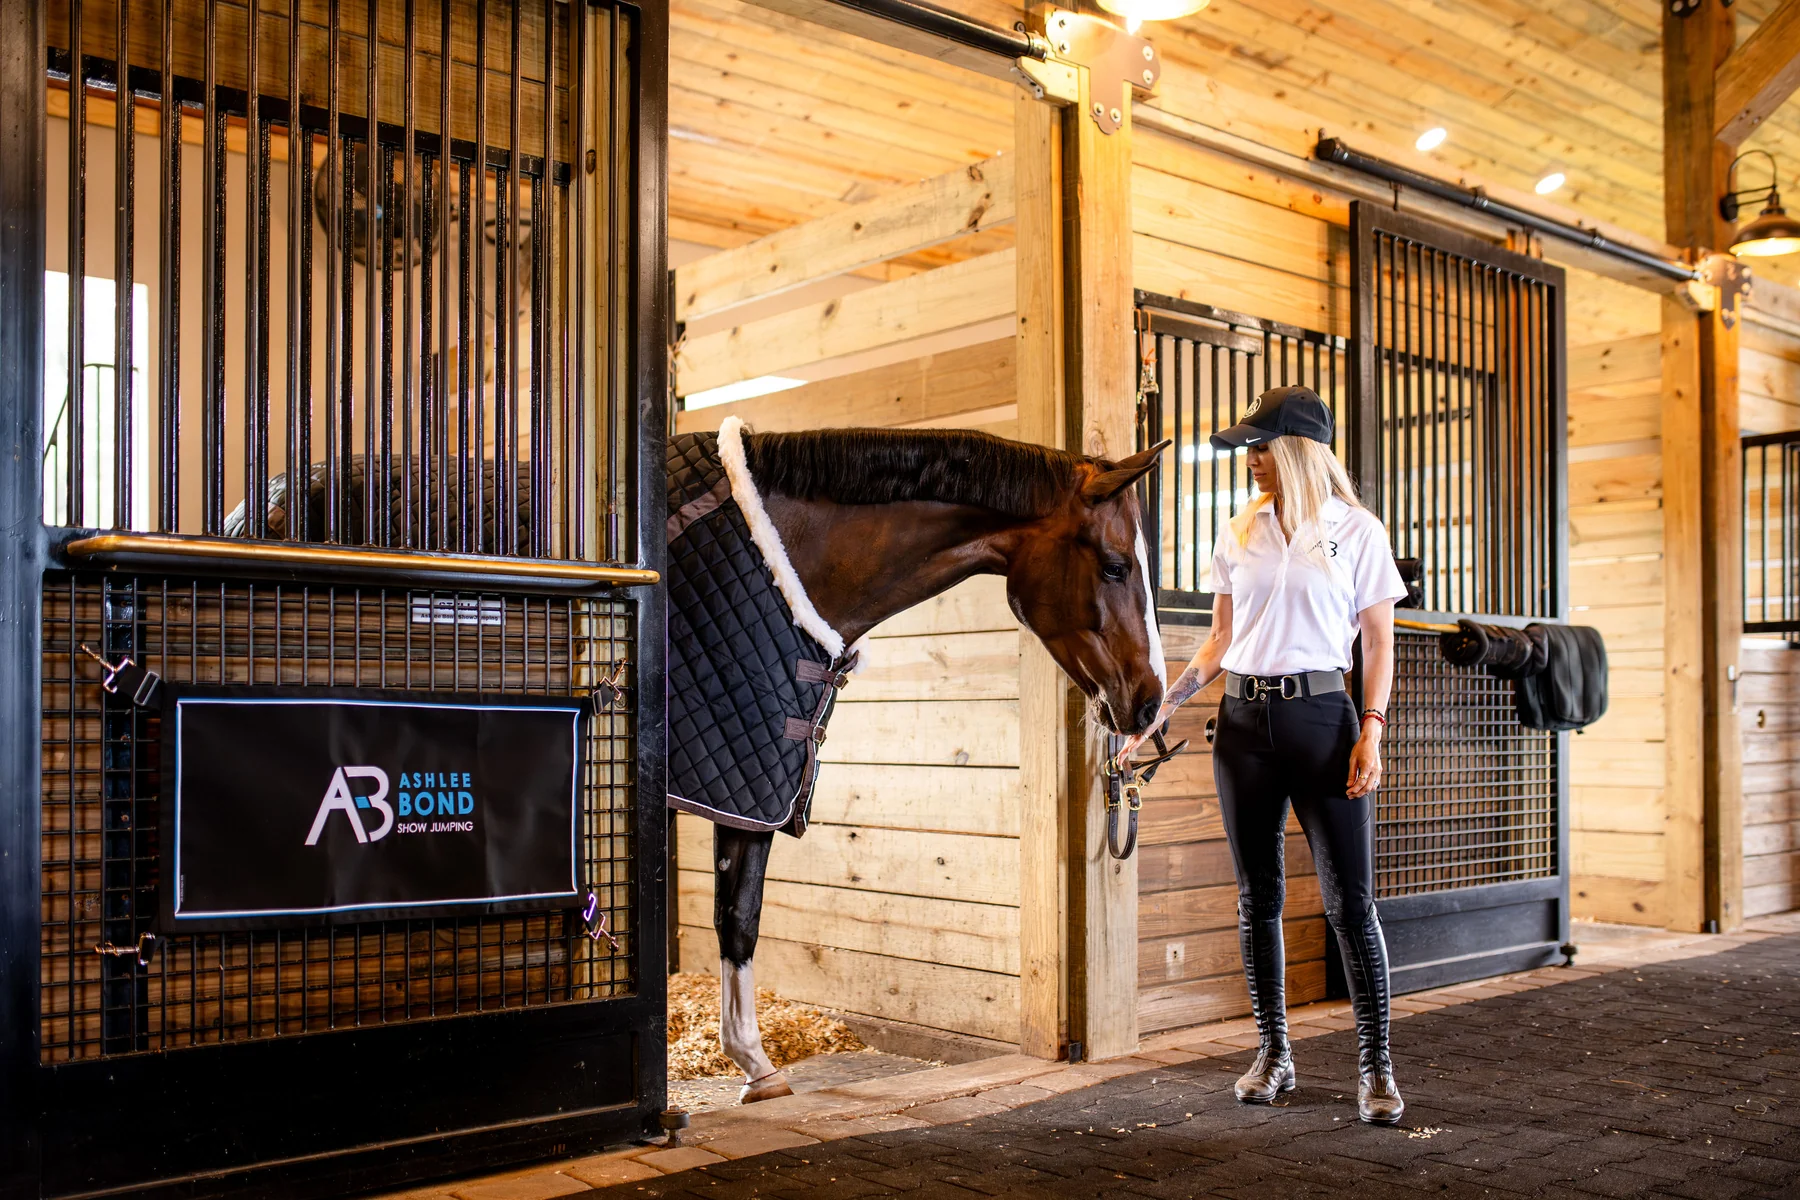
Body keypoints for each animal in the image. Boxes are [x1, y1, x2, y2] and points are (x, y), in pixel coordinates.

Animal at [675, 423, 1171, 1102]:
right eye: (1117, 566)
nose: (1151, 703)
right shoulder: (748, 777)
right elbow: (729, 914)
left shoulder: (751, 785)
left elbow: (738, 916)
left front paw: (756, 1067)